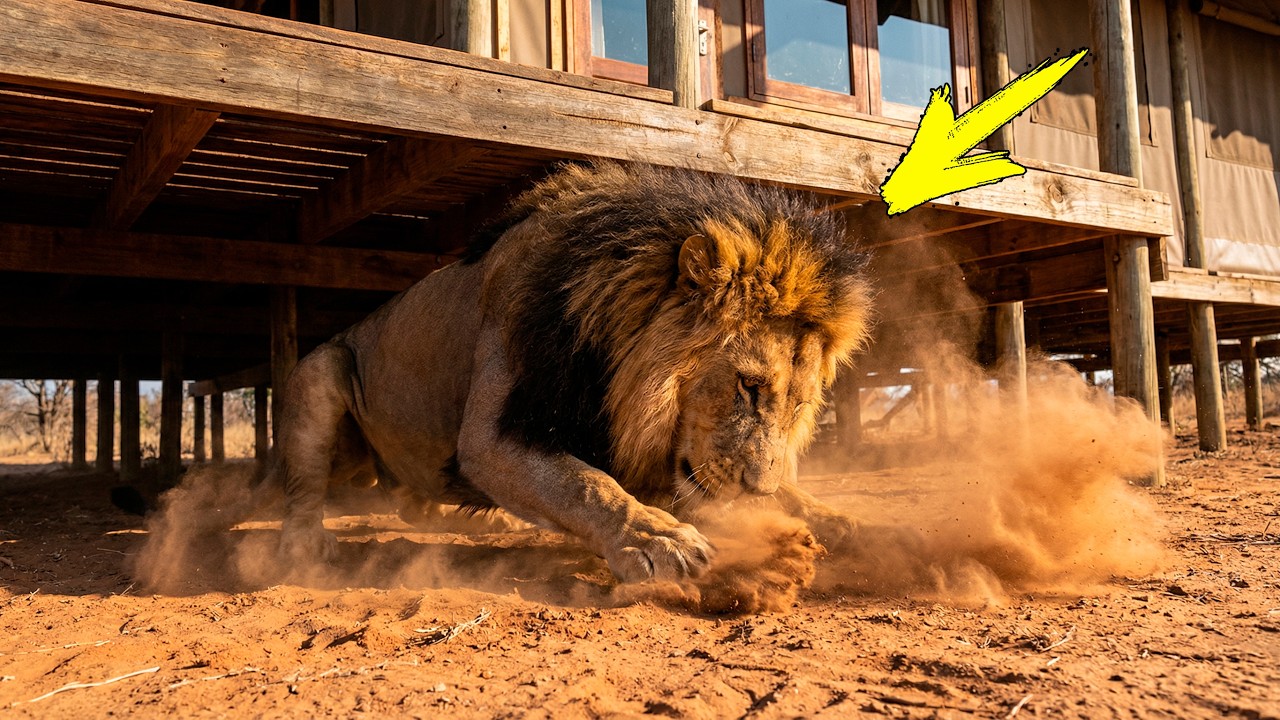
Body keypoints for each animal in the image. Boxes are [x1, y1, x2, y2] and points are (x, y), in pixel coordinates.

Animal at [266, 162, 873, 583]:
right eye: (748, 387)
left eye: (800, 405)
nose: (757, 487)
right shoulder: (493, 435)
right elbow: (585, 484)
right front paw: (657, 538)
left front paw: (834, 517)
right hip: (322, 372)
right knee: (303, 490)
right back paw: (303, 548)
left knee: (414, 504)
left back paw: (491, 519)